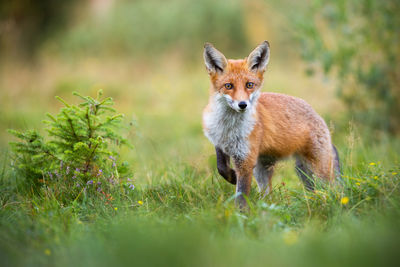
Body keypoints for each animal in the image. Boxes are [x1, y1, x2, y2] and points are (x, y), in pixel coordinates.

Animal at [202, 41, 340, 209]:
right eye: (228, 86)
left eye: (249, 85)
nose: (243, 104)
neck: (228, 127)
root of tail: (317, 115)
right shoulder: (220, 144)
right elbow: (221, 168)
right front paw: (232, 177)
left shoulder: (245, 159)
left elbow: (241, 193)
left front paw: (240, 213)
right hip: (275, 170)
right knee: (269, 194)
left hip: (317, 171)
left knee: (329, 189)